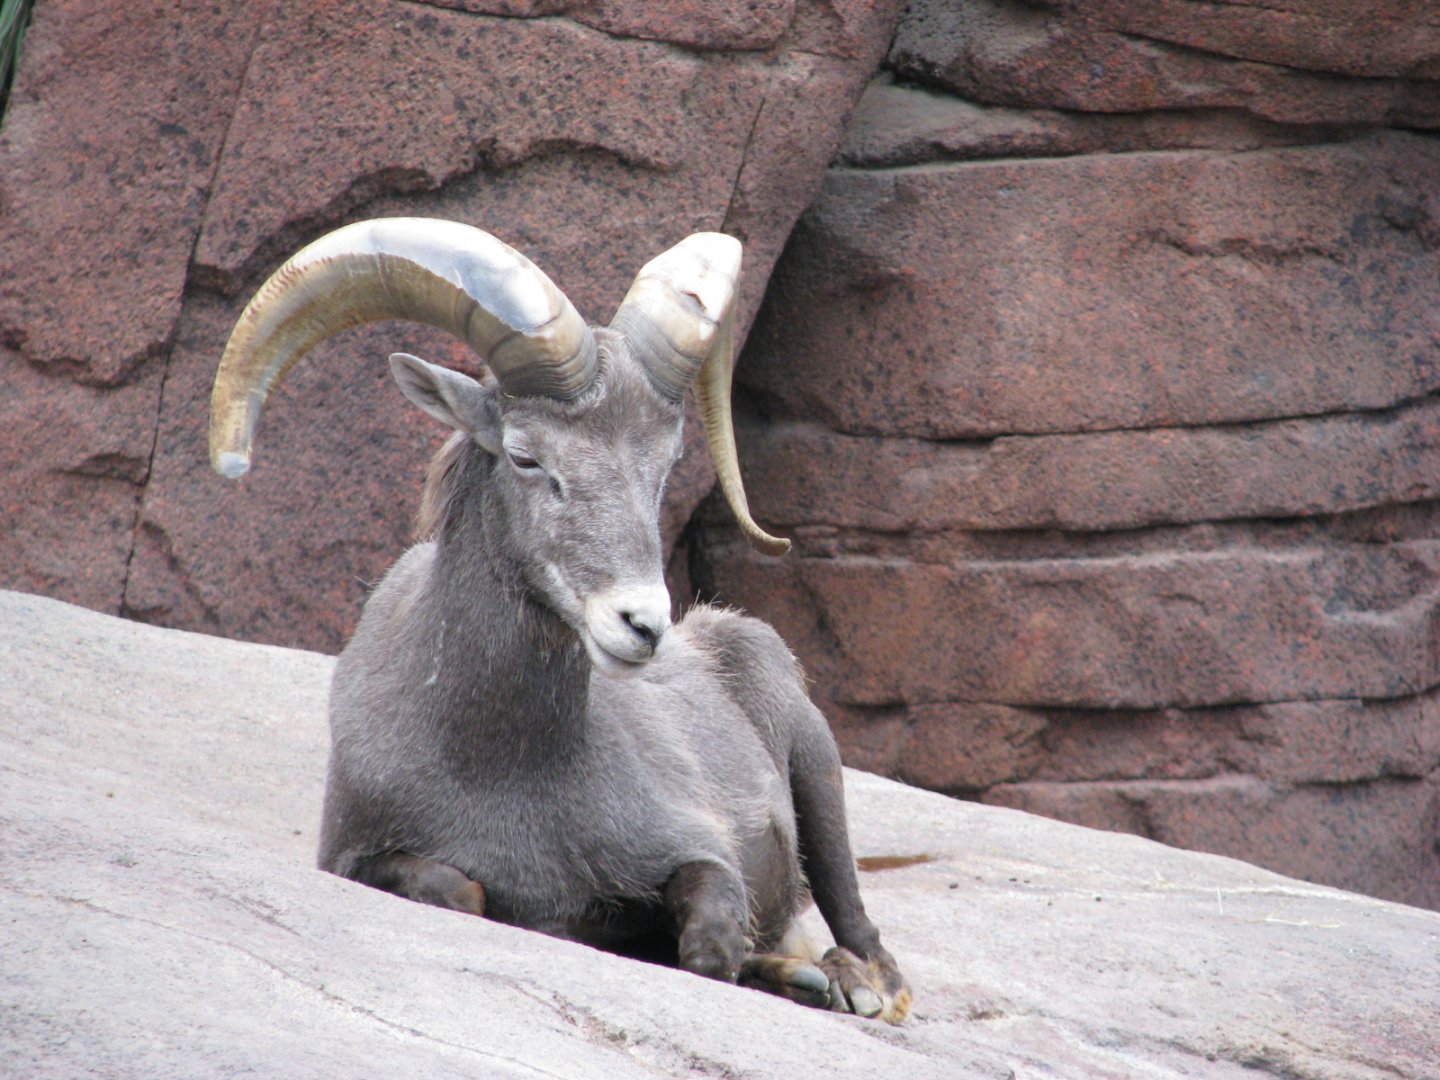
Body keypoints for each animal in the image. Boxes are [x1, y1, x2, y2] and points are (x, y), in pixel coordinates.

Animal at [209, 218, 910, 1022]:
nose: (642, 625)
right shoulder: (356, 856)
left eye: (663, 468)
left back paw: (848, 985)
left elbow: (709, 948)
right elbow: (462, 890)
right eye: (525, 456)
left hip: (817, 767)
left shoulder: (699, 849)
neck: (498, 768)